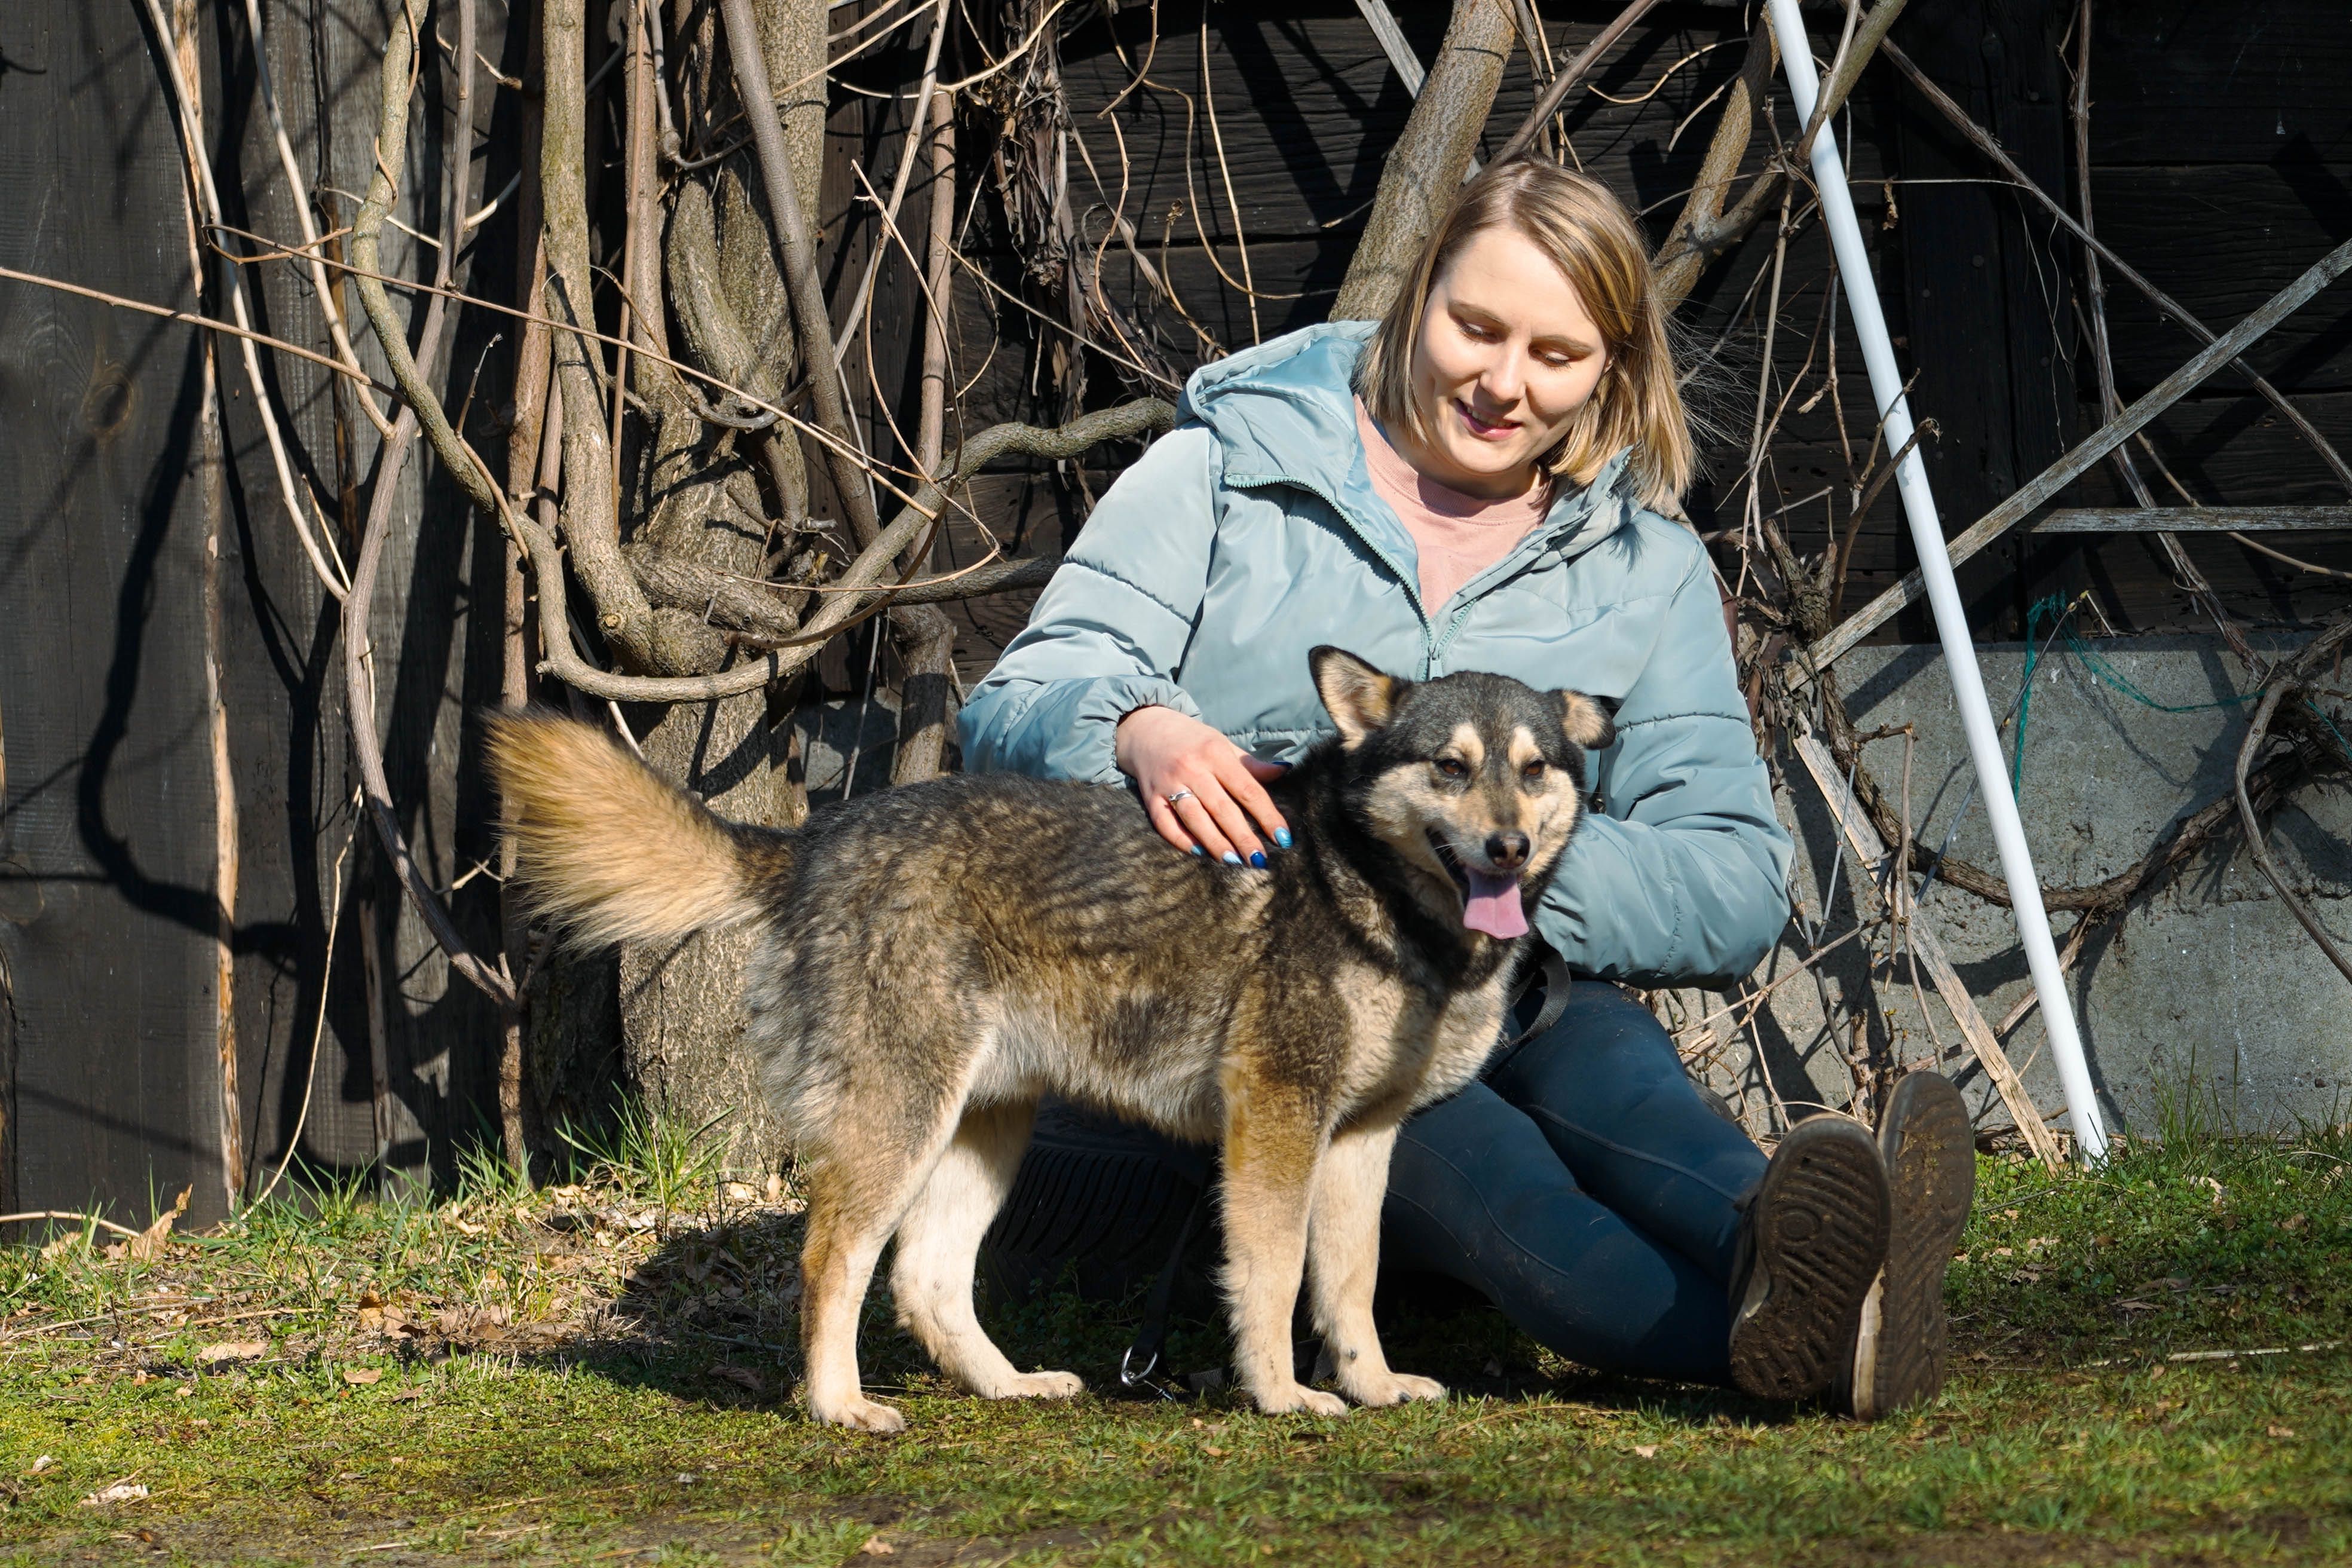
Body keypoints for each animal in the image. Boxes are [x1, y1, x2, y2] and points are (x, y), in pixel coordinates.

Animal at [482, 644, 1618, 1429]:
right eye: (1450, 767)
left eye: (1533, 770)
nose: (1508, 847)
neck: (1368, 889)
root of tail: (813, 841)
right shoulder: (1274, 1123)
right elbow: (1272, 1275)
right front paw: (1281, 1395)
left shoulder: (1358, 1142)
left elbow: (1349, 1282)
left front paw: (1371, 1383)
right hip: (901, 1121)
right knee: (832, 1260)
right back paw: (838, 1405)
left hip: (988, 1130)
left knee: (927, 1280)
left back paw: (1009, 1385)